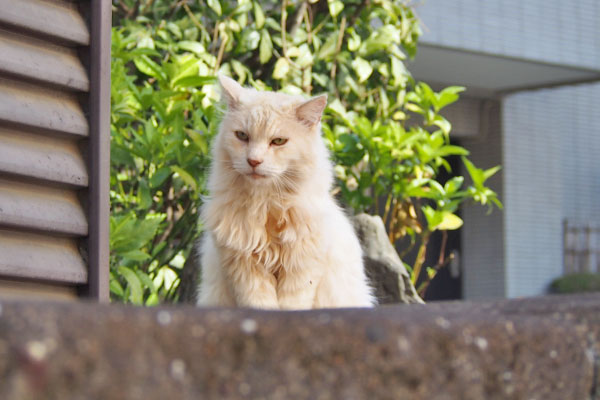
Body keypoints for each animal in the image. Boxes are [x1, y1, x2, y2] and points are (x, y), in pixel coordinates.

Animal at [197, 75, 376, 310]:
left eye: (278, 141)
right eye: (242, 136)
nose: (253, 161)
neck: (266, 205)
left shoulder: (301, 268)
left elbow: (292, 306)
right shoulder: (245, 268)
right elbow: (261, 305)